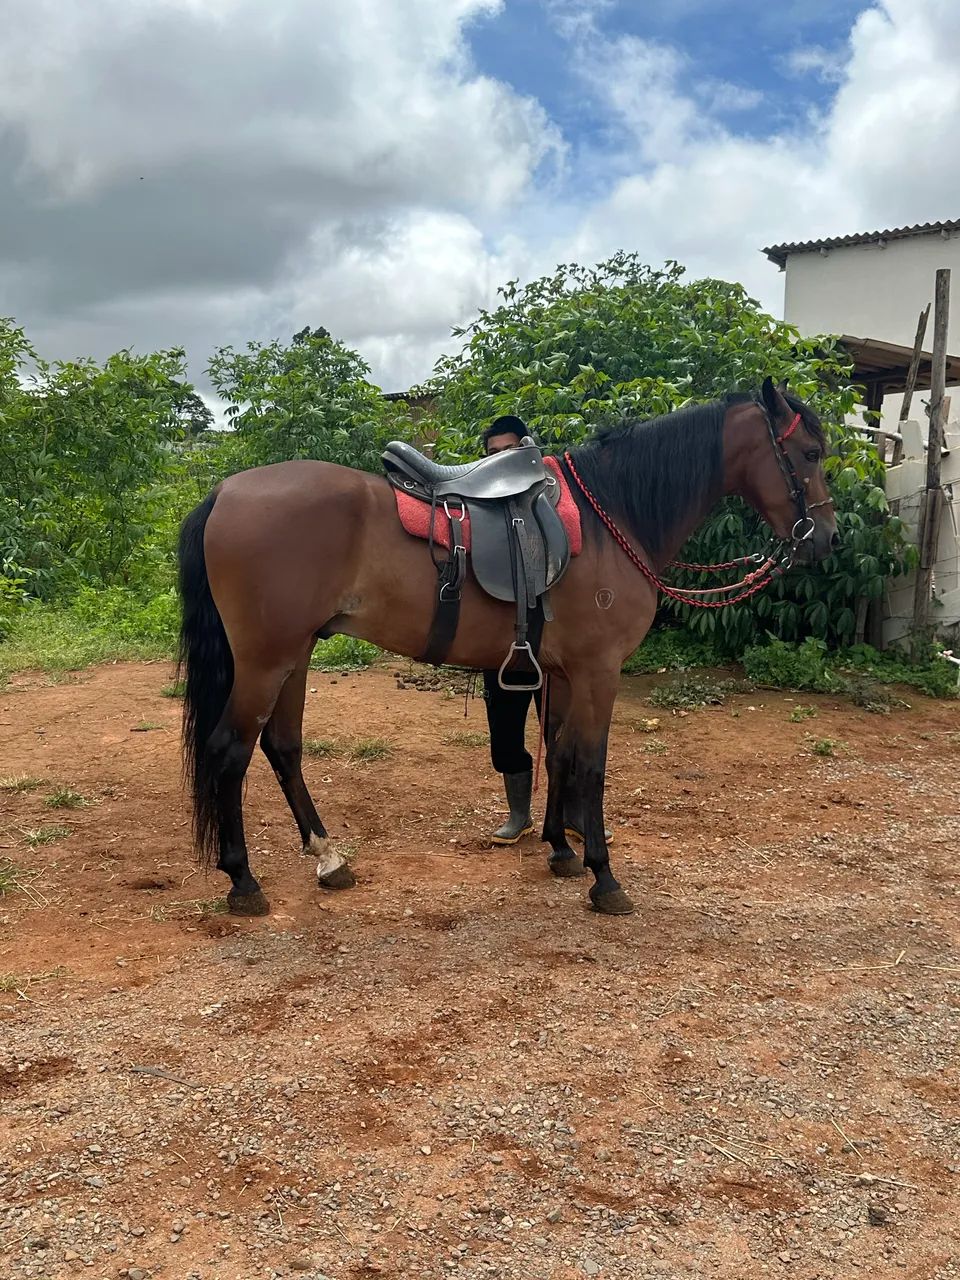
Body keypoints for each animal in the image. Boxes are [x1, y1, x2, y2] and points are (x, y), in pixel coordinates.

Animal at [176, 377, 837, 918]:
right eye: (810, 454)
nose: (826, 538)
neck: (611, 517)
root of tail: (224, 493)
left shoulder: (563, 673)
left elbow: (559, 754)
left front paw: (561, 849)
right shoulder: (599, 671)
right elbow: (592, 764)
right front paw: (604, 877)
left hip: (296, 654)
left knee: (282, 748)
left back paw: (329, 858)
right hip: (267, 660)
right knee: (230, 750)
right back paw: (243, 882)